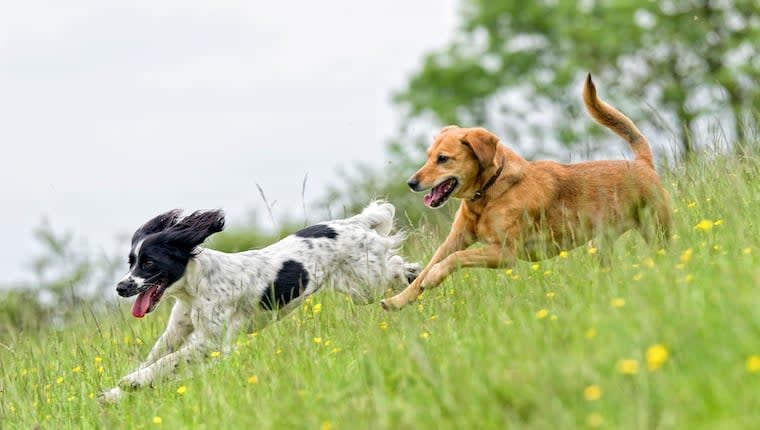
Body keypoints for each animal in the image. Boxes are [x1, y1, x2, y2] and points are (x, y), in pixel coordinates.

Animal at [99, 202, 422, 404]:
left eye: (149, 263)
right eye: (131, 262)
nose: (120, 287)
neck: (194, 287)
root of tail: (355, 222)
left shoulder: (211, 341)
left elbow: (167, 362)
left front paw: (133, 382)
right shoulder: (178, 330)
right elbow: (158, 356)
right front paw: (114, 393)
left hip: (365, 284)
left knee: (394, 265)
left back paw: (413, 275)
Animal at [380, 74, 672, 310]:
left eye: (443, 159)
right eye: (428, 156)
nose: (411, 182)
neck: (488, 193)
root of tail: (642, 163)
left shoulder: (504, 253)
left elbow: (454, 259)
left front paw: (433, 277)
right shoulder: (454, 239)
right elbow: (428, 268)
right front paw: (397, 300)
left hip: (657, 230)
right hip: (601, 244)